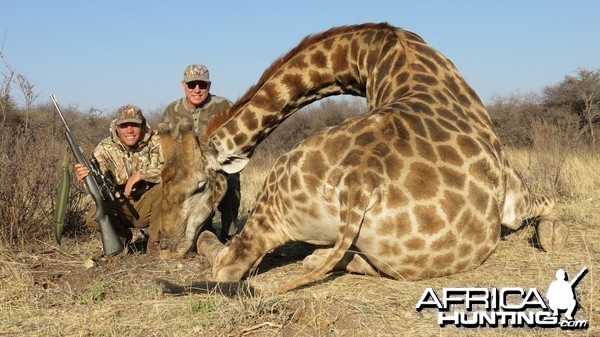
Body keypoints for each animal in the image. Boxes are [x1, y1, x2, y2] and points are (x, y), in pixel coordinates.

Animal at [158, 23, 568, 292]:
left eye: (199, 186)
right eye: (162, 183)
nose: (167, 245)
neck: (375, 57)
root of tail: (359, 187)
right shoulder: (511, 196)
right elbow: (550, 202)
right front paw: (552, 237)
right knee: (239, 263)